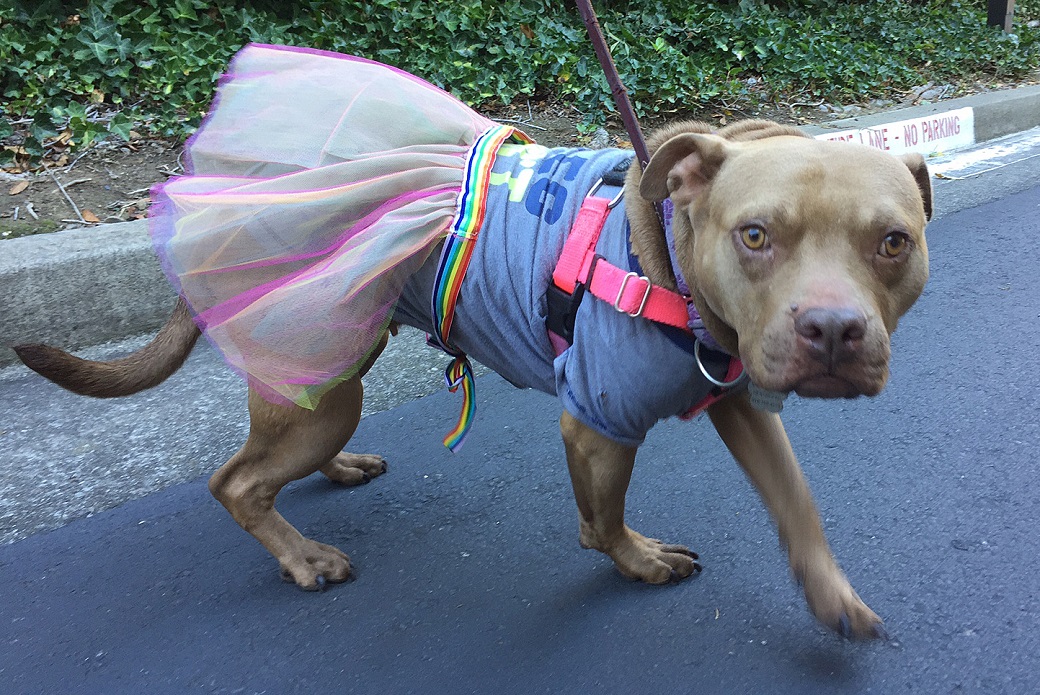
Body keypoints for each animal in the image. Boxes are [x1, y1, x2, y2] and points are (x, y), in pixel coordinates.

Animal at [12, 48, 931, 645]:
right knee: (236, 481)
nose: (834, 329)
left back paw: (335, 471)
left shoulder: (736, 396)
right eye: (755, 235)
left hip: (333, 364)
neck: (667, 252)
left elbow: (796, 498)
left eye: (894, 242)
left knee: (283, 441)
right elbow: (603, 522)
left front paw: (829, 593)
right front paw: (636, 562)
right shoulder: (597, 425)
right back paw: (302, 556)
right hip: (320, 387)